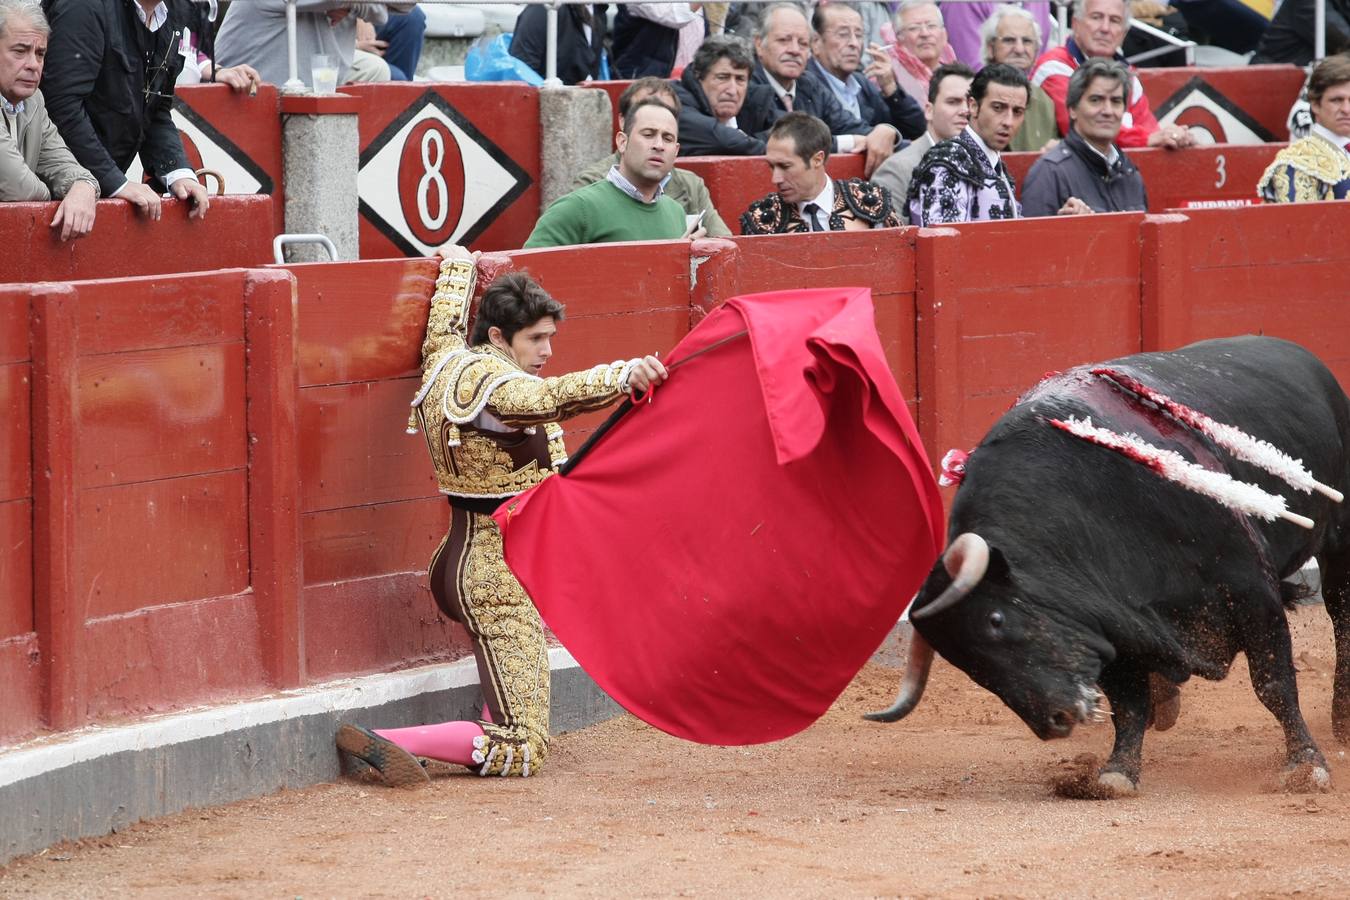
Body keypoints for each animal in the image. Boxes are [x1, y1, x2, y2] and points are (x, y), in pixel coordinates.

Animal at [864, 335, 1350, 793]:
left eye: (996, 620)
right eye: (965, 664)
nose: (1055, 721)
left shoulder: (1251, 592)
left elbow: (1274, 683)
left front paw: (1306, 764)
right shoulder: (1112, 623)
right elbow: (1128, 704)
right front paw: (1117, 772)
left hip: (1339, 541)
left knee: (1341, 617)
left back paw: (1343, 718)